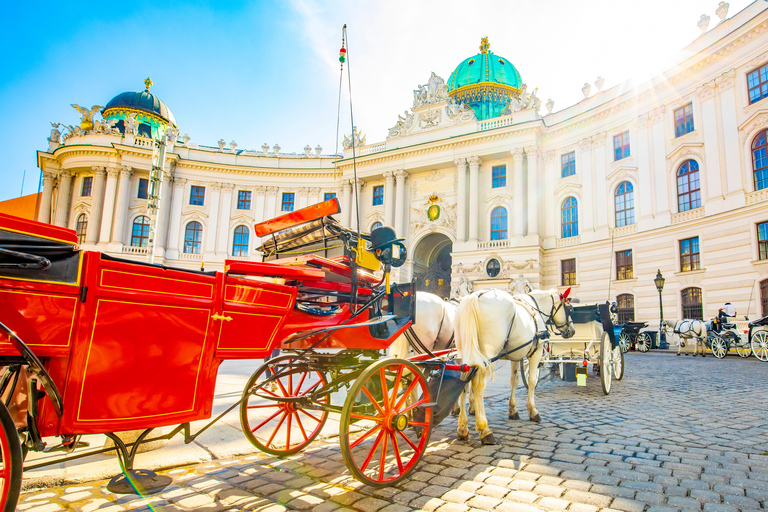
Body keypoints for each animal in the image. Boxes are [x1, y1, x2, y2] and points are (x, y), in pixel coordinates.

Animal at [452, 288, 572, 444]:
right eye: (570, 308)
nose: (572, 331)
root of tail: (474, 297)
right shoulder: (536, 352)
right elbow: (532, 381)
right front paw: (533, 411)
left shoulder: (516, 355)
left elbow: (514, 381)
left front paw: (513, 410)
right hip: (488, 355)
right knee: (478, 385)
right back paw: (485, 429)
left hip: (464, 352)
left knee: (464, 381)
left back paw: (462, 428)